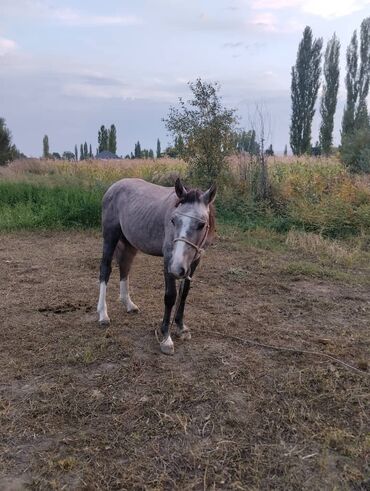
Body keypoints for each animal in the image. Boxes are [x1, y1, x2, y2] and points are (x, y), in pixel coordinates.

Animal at [97, 179, 217, 356]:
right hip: (110, 237)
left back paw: (129, 304)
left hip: (129, 244)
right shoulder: (168, 259)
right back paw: (103, 314)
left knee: (125, 266)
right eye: (173, 220)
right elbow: (170, 296)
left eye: (201, 224)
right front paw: (166, 338)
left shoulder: (194, 261)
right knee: (105, 270)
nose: (176, 268)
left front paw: (181, 328)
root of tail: (114, 186)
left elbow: (184, 293)